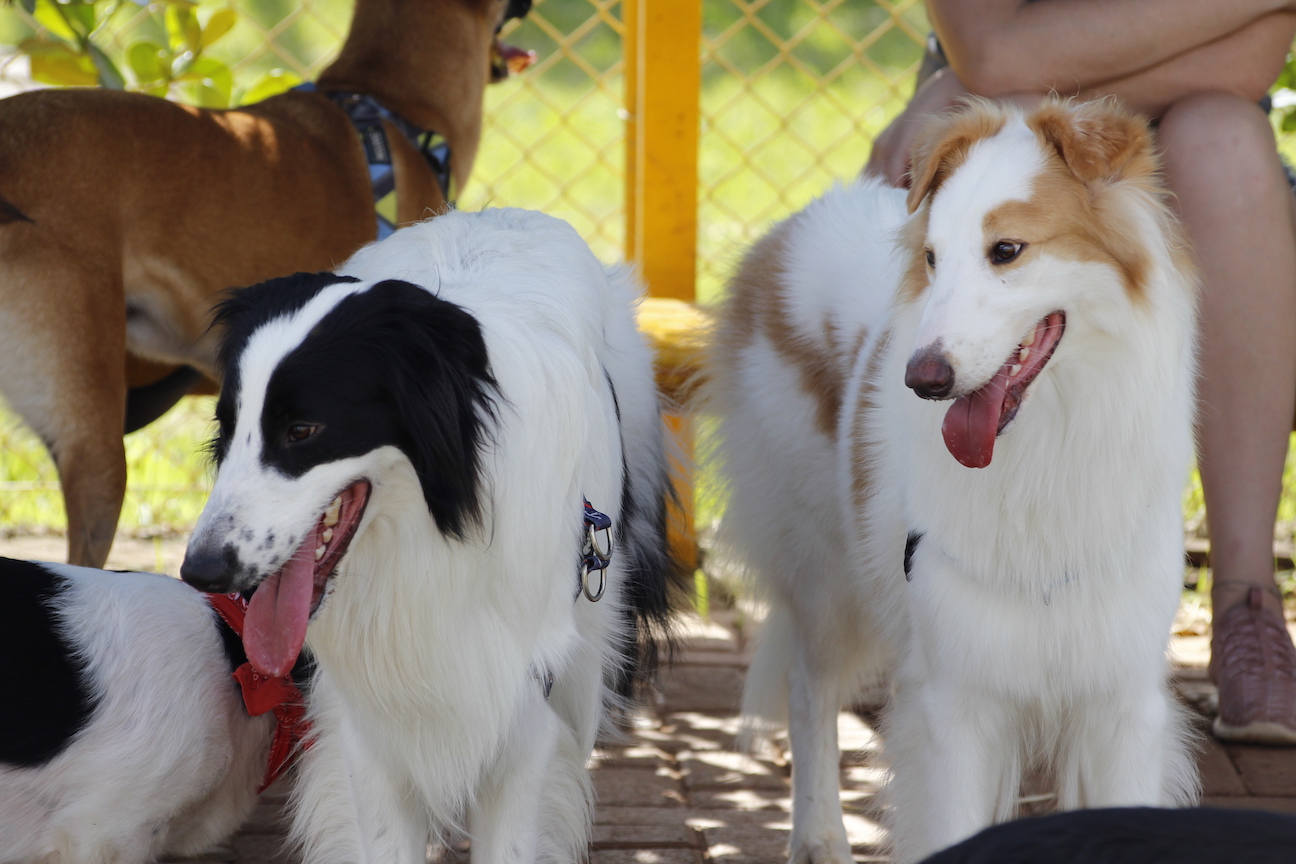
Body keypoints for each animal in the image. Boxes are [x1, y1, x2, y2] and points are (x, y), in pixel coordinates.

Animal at [177, 207, 679, 863]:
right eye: (228, 425)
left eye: (302, 430)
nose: (200, 570)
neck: (432, 543)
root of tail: (501, 213)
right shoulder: (368, 732)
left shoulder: (527, 717)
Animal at [707, 98, 1200, 863]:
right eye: (933, 260)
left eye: (1007, 251)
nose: (922, 378)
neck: (1042, 453)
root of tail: (791, 227)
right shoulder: (957, 703)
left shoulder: (1120, 705)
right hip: (824, 572)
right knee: (809, 691)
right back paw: (818, 836)